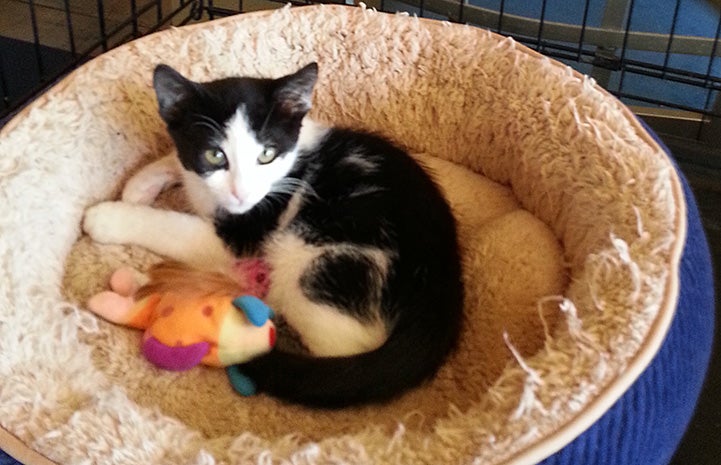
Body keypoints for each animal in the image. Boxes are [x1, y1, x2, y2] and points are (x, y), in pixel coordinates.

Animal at [84, 62, 464, 406]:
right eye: (214, 154)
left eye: (266, 155)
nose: (241, 193)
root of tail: (439, 291)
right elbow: (179, 162)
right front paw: (139, 185)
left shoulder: (246, 231)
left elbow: (174, 227)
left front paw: (107, 218)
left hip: (319, 253)